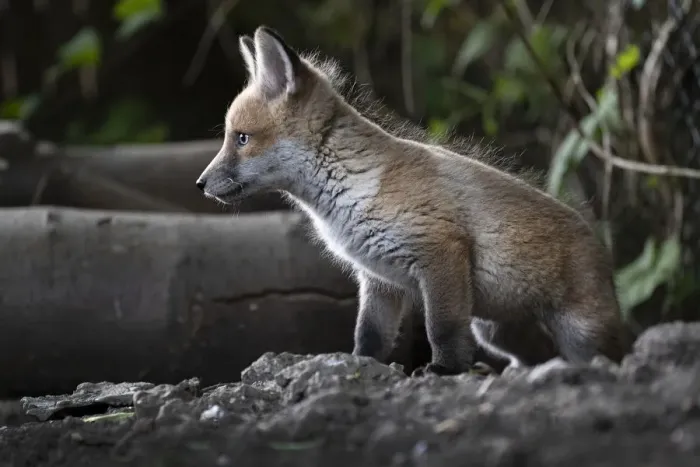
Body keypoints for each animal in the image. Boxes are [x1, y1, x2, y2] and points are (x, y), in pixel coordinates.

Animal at [196, 26, 632, 376]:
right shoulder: (377, 281)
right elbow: (369, 338)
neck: (350, 191)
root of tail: (603, 249)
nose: (200, 184)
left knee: (605, 357)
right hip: (496, 331)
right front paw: (356, 367)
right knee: (536, 358)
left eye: (241, 138)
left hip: (577, 332)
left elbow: (442, 328)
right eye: (230, 137)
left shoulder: (440, 252)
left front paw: (445, 370)